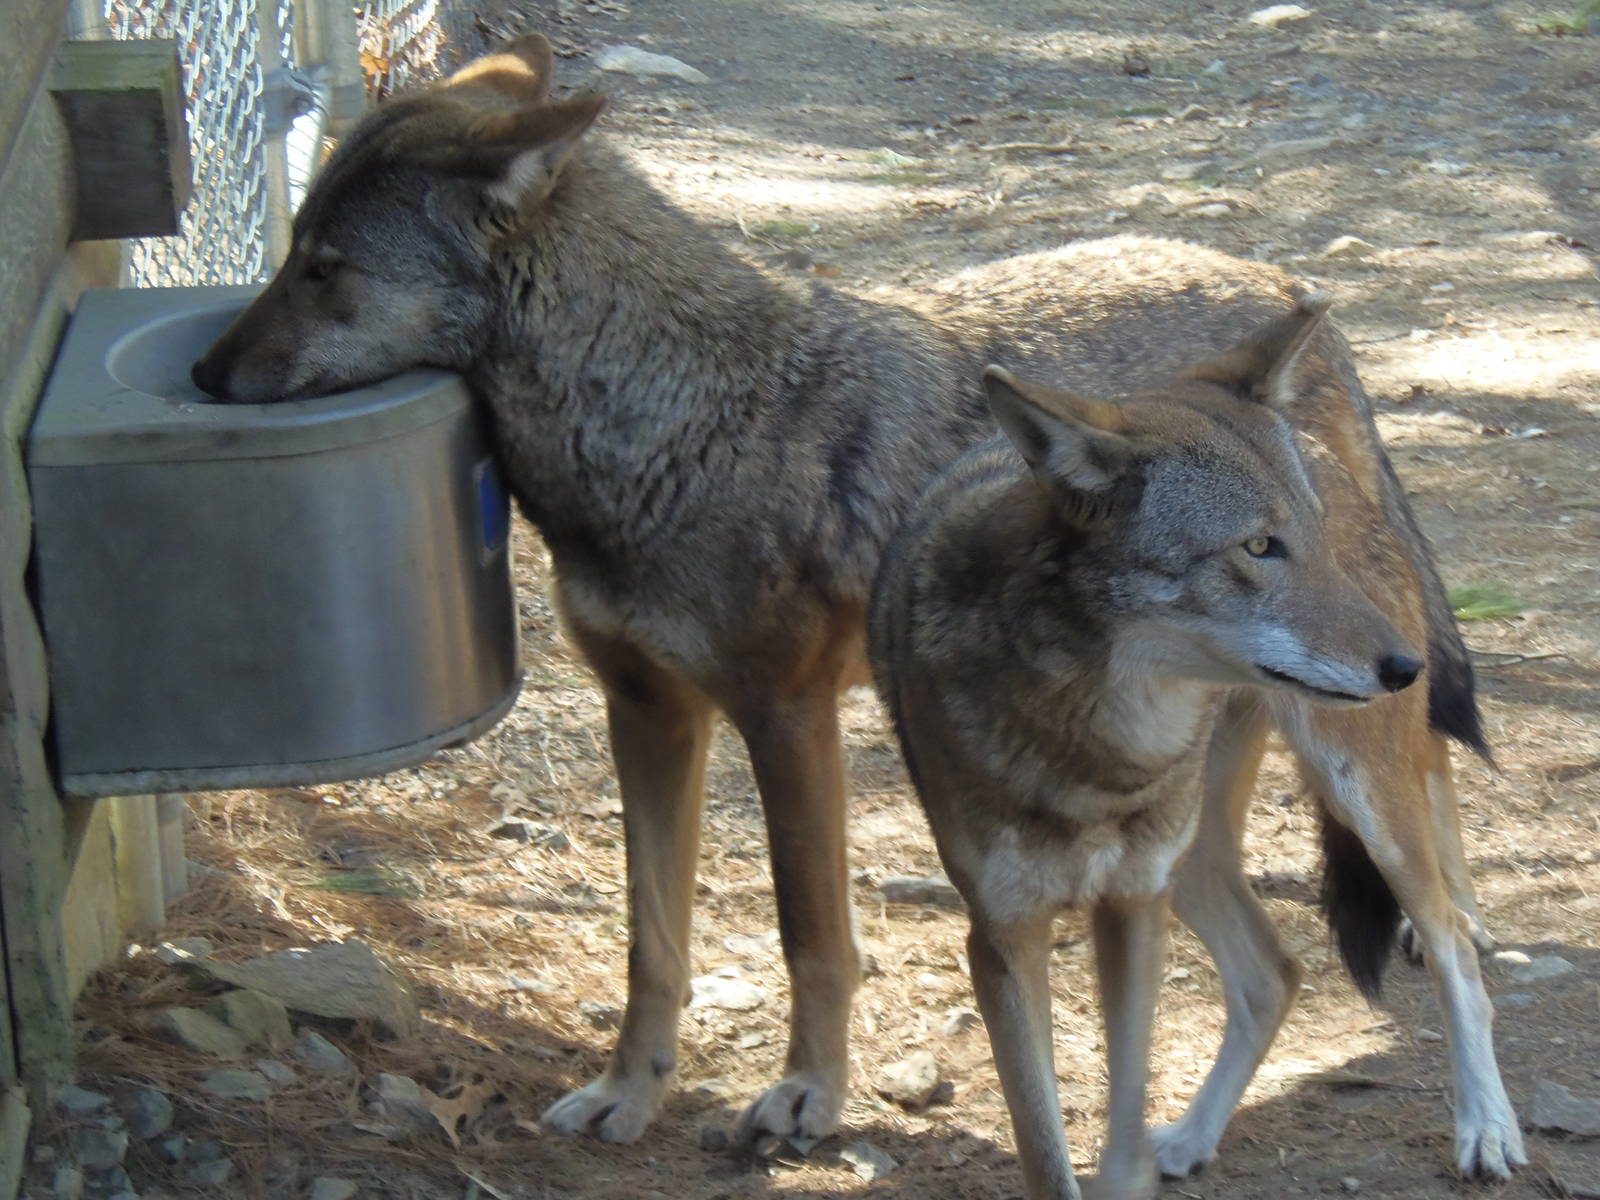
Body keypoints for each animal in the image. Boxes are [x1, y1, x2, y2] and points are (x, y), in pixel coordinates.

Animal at [871, 297, 1437, 1199]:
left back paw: (1488, 1133)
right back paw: (1196, 1137)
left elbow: (1125, 1115)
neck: (1100, 756)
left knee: (1458, 947)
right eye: (1258, 546)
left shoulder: (1133, 905)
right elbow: (1043, 1144)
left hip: (1359, 802)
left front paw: (1129, 1165)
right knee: (1274, 972)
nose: (1403, 667)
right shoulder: (1002, 935)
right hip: (1197, 861)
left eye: (1311, 537)